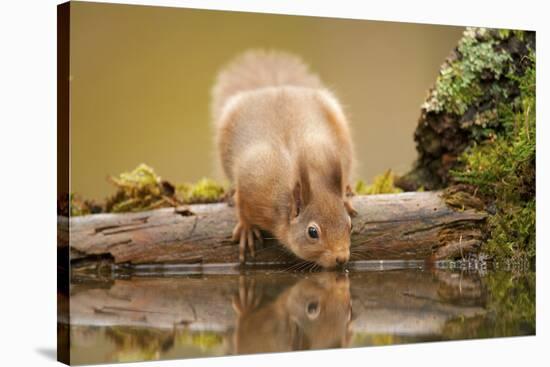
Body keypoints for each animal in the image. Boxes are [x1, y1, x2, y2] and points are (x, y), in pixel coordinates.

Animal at [211, 49, 358, 268]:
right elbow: (242, 205)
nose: (341, 258)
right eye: (312, 232)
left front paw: (345, 198)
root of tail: (274, 88)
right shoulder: (253, 183)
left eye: (349, 225)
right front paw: (246, 228)